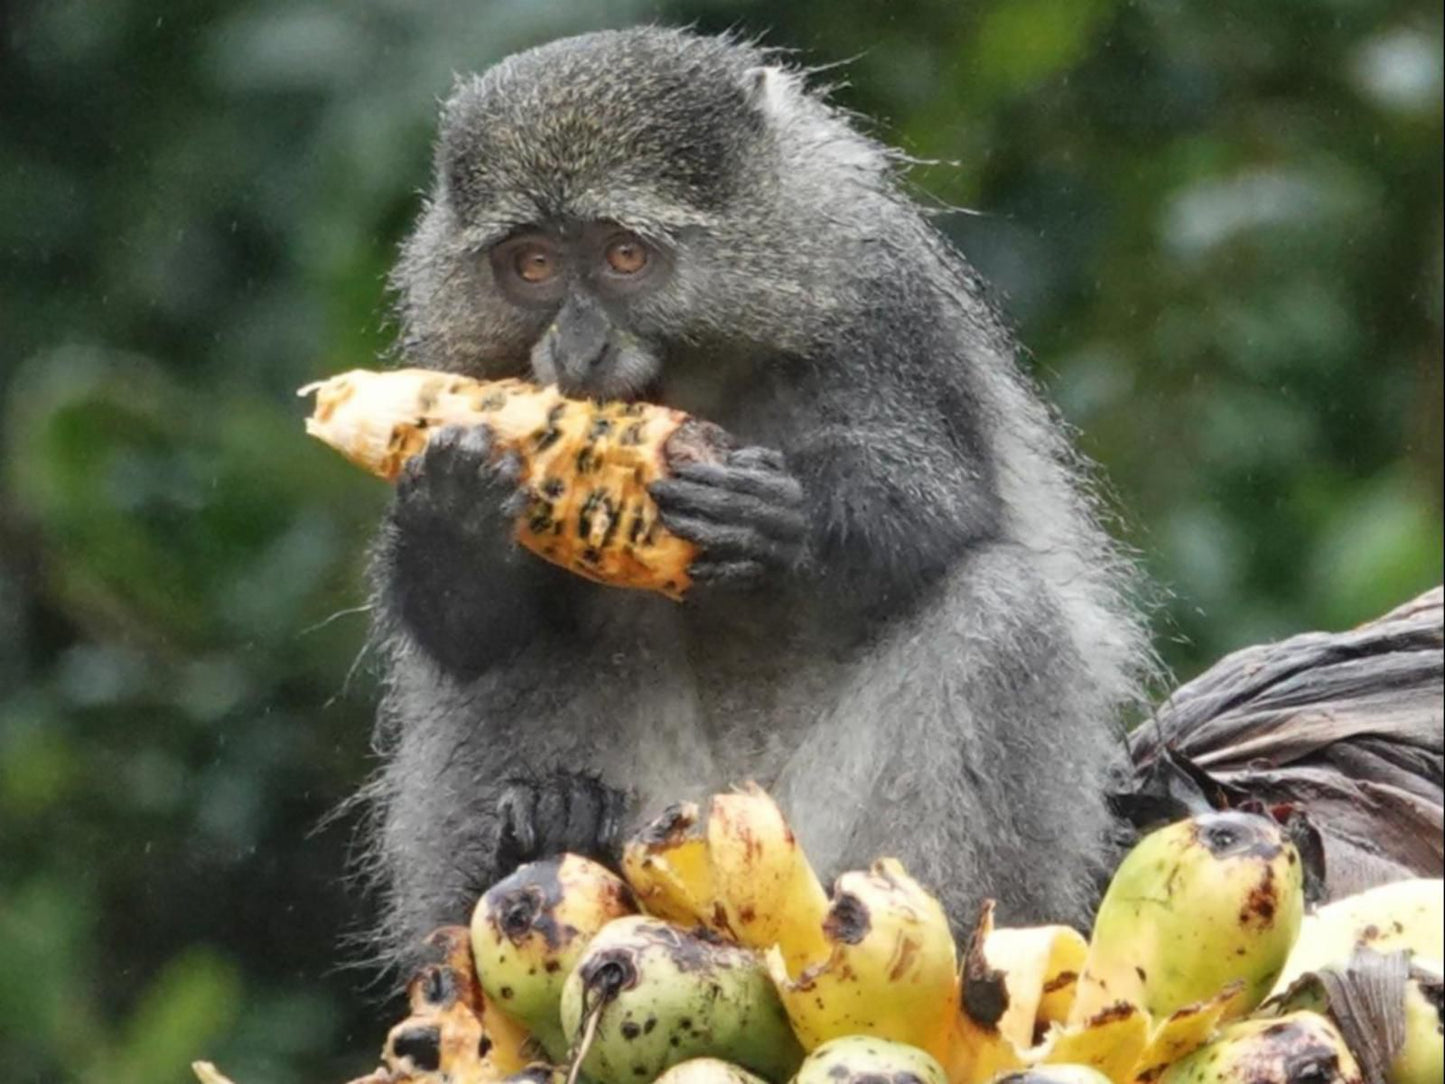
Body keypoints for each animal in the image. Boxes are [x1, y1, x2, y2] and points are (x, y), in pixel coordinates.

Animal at [358, 25, 1150, 977]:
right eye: (533, 265)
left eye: (624, 255)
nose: (577, 350)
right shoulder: (455, 353)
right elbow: (468, 630)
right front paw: (451, 514)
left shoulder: (874, 289)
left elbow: (944, 508)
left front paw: (782, 524)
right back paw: (543, 837)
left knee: (998, 602)